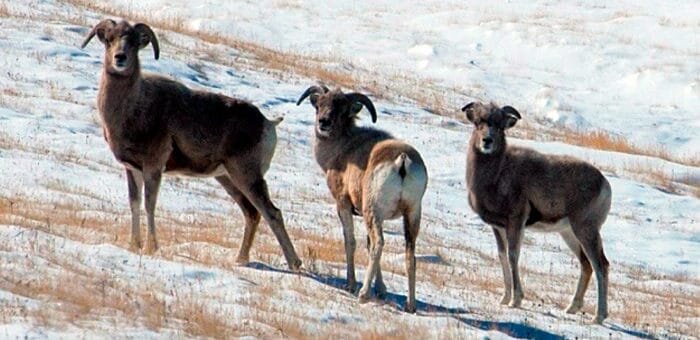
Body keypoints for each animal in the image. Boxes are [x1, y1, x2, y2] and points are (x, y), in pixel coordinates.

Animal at [81, 19, 300, 270]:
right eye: (109, 39)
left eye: (135, 43)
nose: (120, 58)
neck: (132, 108)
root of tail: (268, 124)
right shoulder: (132, 169)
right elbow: (134, 204)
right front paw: (133, 245)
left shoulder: (153, 168)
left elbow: (149, 204)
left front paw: (150, 248)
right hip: (227, 178)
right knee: (252, 213)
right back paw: (240, 260)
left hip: (247, 177)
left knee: (272, 213)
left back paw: (295, 264)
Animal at [296, 85, 426, 314]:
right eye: (319, 105)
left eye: (341, 109)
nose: (323, 122)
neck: (342, 149)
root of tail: (402, 161)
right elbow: (366, 244)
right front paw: (381, 290)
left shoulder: (344, 205)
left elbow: (351, 242)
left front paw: (351, 285)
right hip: (411, 216)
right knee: (409, 254)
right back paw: (410, 306)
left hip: (373, 212)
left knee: (378, 244)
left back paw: (363, 294)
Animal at [464, 101, 612, 324]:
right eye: (478, 122)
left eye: (499, 126)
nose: (487, 141)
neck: (497, 174)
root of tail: (604, 184)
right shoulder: (498, 228)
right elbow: (502, 256)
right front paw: (504, 299)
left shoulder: (516, 222)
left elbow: (513, 256)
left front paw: (515, 301)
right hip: (569, 233)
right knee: (586, 265)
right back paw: (571, 308)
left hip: (586, 230)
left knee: (600, 266)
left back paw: (598, 317)